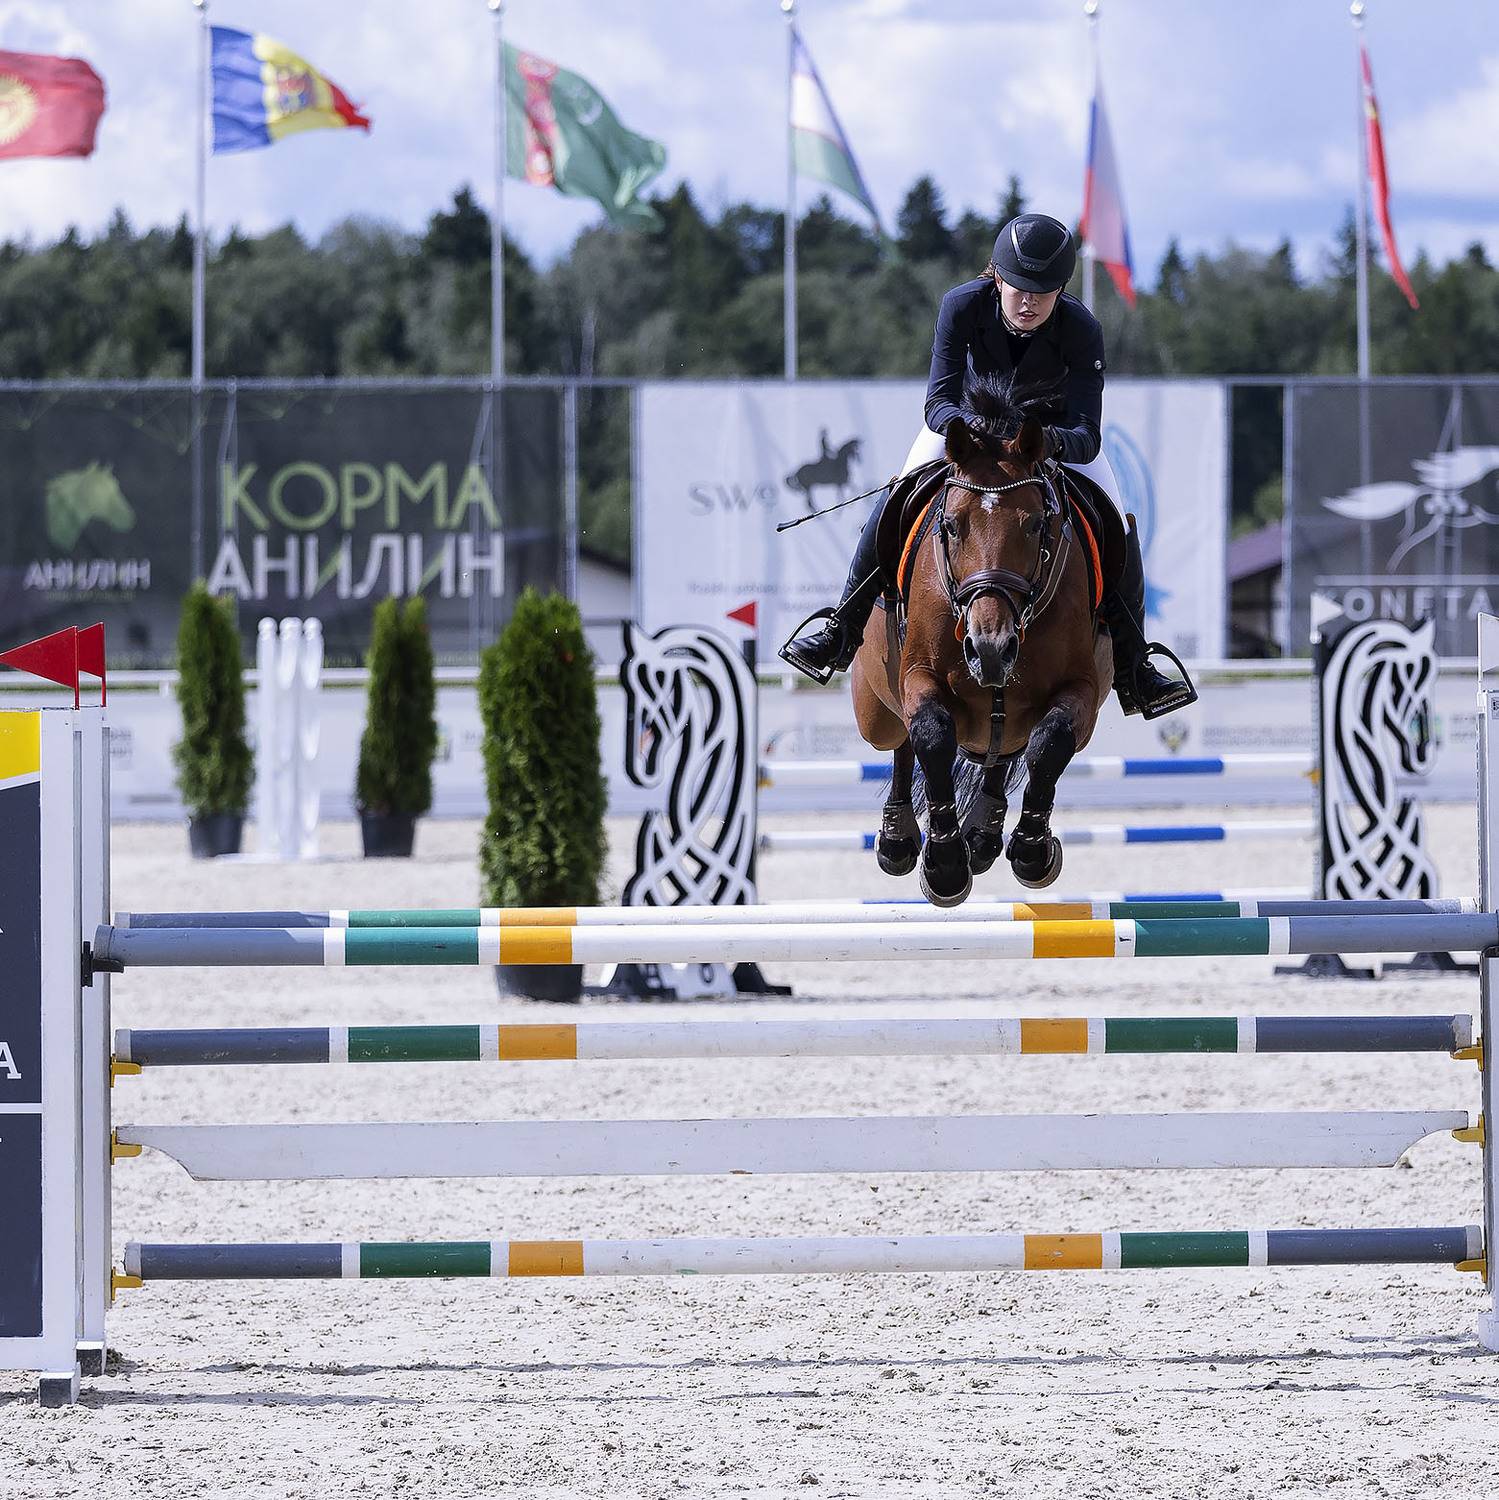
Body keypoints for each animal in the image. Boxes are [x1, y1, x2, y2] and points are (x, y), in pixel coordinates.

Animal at [850, 374, 1113, 907]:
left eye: (1035, 524)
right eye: (950, 526)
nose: (991, 649)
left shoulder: (1083, 691)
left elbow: (1050, 742)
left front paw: (1032, 850)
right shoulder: (917, 673)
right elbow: (930, 733)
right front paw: (947, 867)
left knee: (1004, 749)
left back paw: (984, 833)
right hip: (875, 711)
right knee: (900, 738)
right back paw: (899, 839)